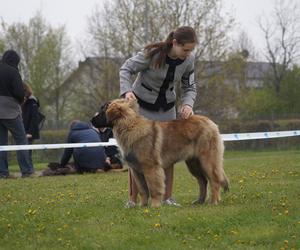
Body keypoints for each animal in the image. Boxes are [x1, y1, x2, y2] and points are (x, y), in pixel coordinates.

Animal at [90, 98, 229, 208]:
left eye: (102, 111)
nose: (91, 120)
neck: (129, 126)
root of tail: (210, 122)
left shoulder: (151, 168)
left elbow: (153, 188)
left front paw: (155, 205)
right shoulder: (136, 170)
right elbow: (142, 190)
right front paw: (142, 206)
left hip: (207, 160)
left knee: (214, 180)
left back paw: (213, 202)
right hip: (193, 163)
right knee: (203, 181)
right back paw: (200, 201)